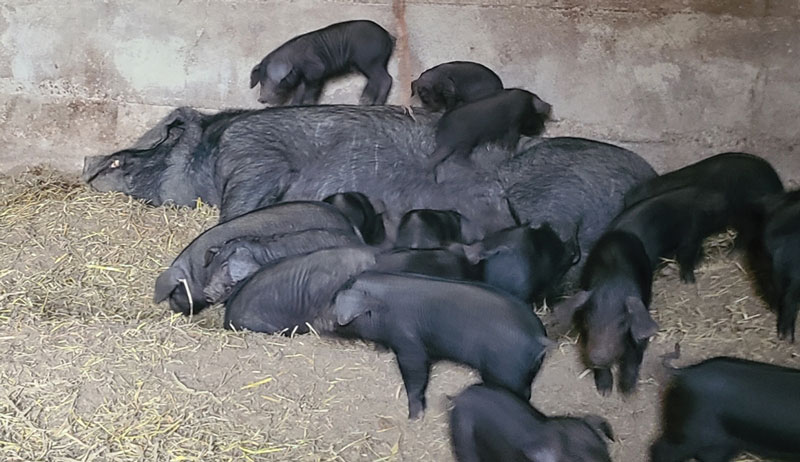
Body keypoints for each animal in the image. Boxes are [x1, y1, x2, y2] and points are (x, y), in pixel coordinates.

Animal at [82, 105, 655, 265]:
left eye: (124, 161)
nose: (90, 164)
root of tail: (646, 177)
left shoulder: (255, 154)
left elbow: (239, 207)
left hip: (554, 197)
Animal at [249, 20, 394, 106]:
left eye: (268, 81)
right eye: (261, 82)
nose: (260, 99)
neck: (295, 63)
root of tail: (388, 35)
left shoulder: (316, 69)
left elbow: (311, 88)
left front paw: (307, 104)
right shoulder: (302, 77)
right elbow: (299, 90)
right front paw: (293, 105)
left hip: (370, 60)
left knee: (386, 78)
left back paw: (375, 103)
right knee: (374, 79)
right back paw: (364, 101)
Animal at [326, 271, 553, 419]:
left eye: (334, 303)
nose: (323, 322)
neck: (381, 309)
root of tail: (538, 337)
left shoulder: (410, 345)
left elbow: (415, 374)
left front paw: (414, 417)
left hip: (505, 373)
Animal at [553, 230, 658, 395]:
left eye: (622, 323)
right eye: (588, 320)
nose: (598, 357)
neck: (612, 287)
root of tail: (619, 232)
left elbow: (635, 353)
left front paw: (627, 391)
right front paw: (604, 391)